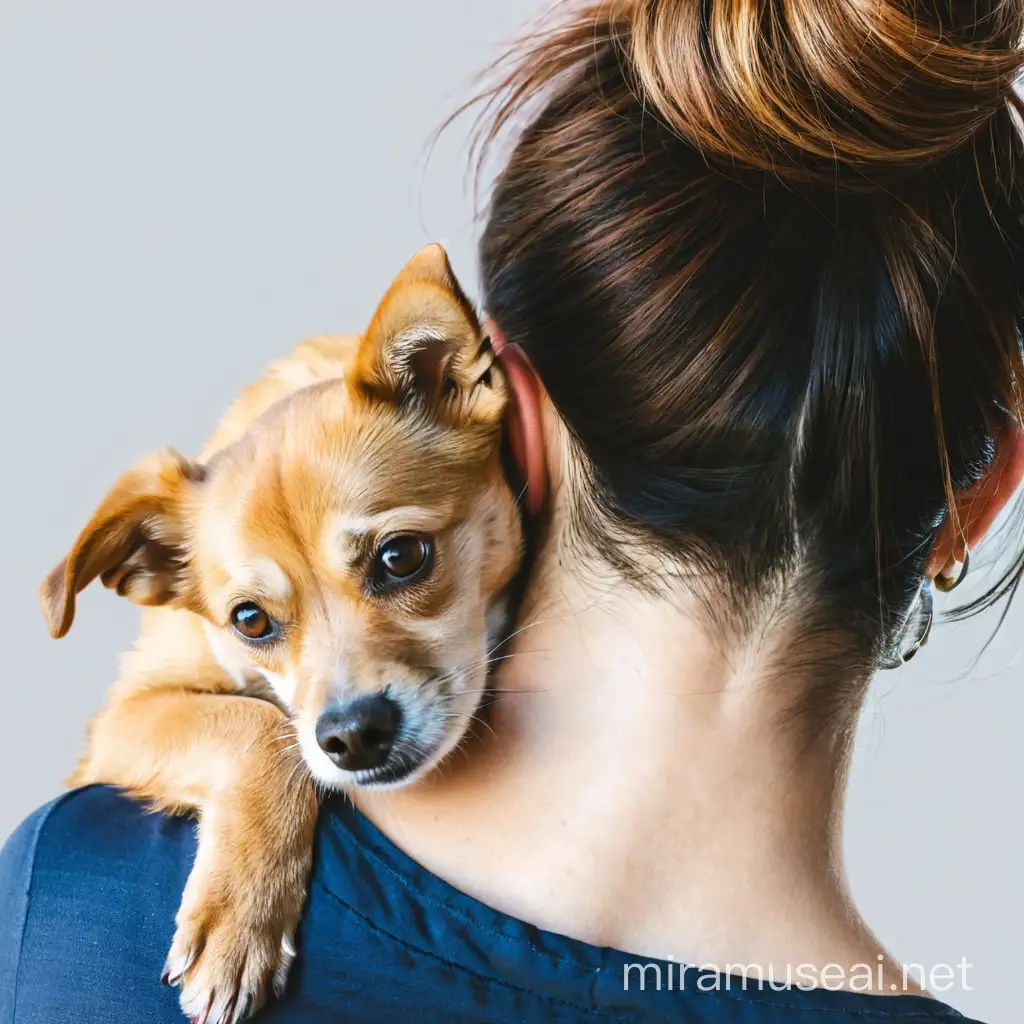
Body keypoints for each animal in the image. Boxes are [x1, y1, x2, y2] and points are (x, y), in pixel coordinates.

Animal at [38, 247, 520, 1024]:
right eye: (250, 621)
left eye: (401, 556)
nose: (352, 736)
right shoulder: (120, 720)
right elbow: (257, 728)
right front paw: (240, 916)